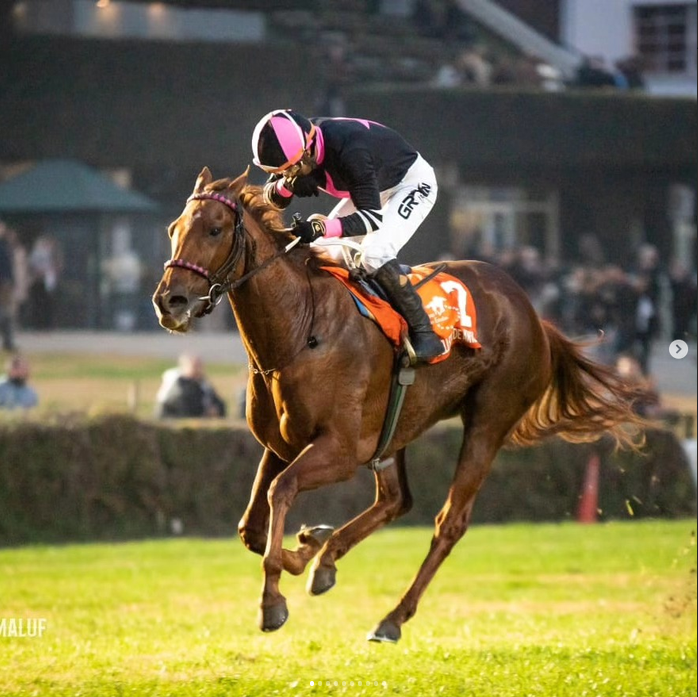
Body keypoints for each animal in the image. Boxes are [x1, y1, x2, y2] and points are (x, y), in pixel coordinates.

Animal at [152, 167, 646, 643]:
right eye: (173, 229)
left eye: (215, 229)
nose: (169, 302)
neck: (299, 329)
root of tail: (535, 317)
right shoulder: (281, 445)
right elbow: (252, 529)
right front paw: (309, 547)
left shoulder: (340, 449)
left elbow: (281, 493)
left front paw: (274, 599)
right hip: (397, 427)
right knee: (396, 499)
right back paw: (328, 558)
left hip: (489, 421)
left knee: (449, 522)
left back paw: (392, 618)